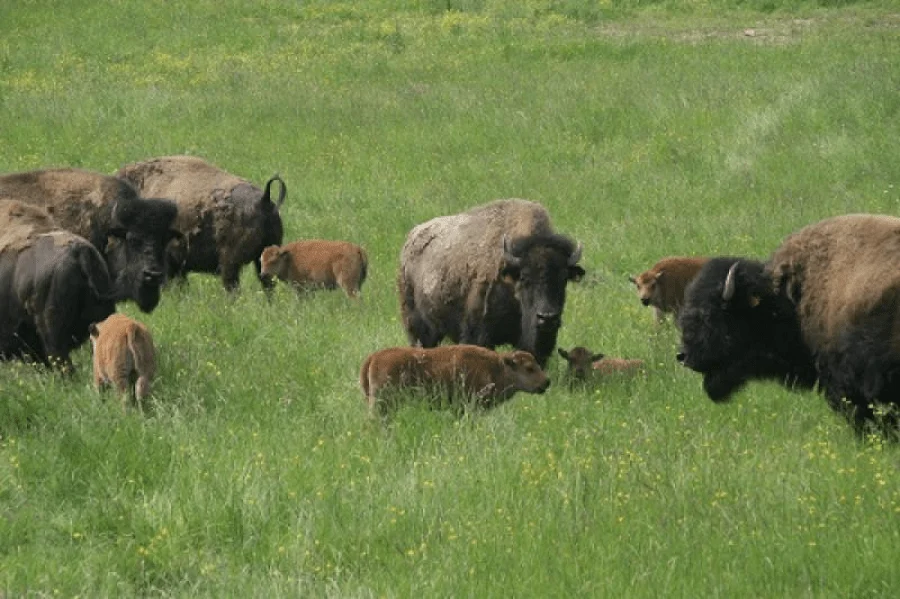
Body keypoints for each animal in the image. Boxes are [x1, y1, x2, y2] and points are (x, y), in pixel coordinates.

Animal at [398, 199, 584, 368]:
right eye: (524, 277)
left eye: (563, 278)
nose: (547, 318)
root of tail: (410, 239)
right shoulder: (479, 334)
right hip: (417, 327)